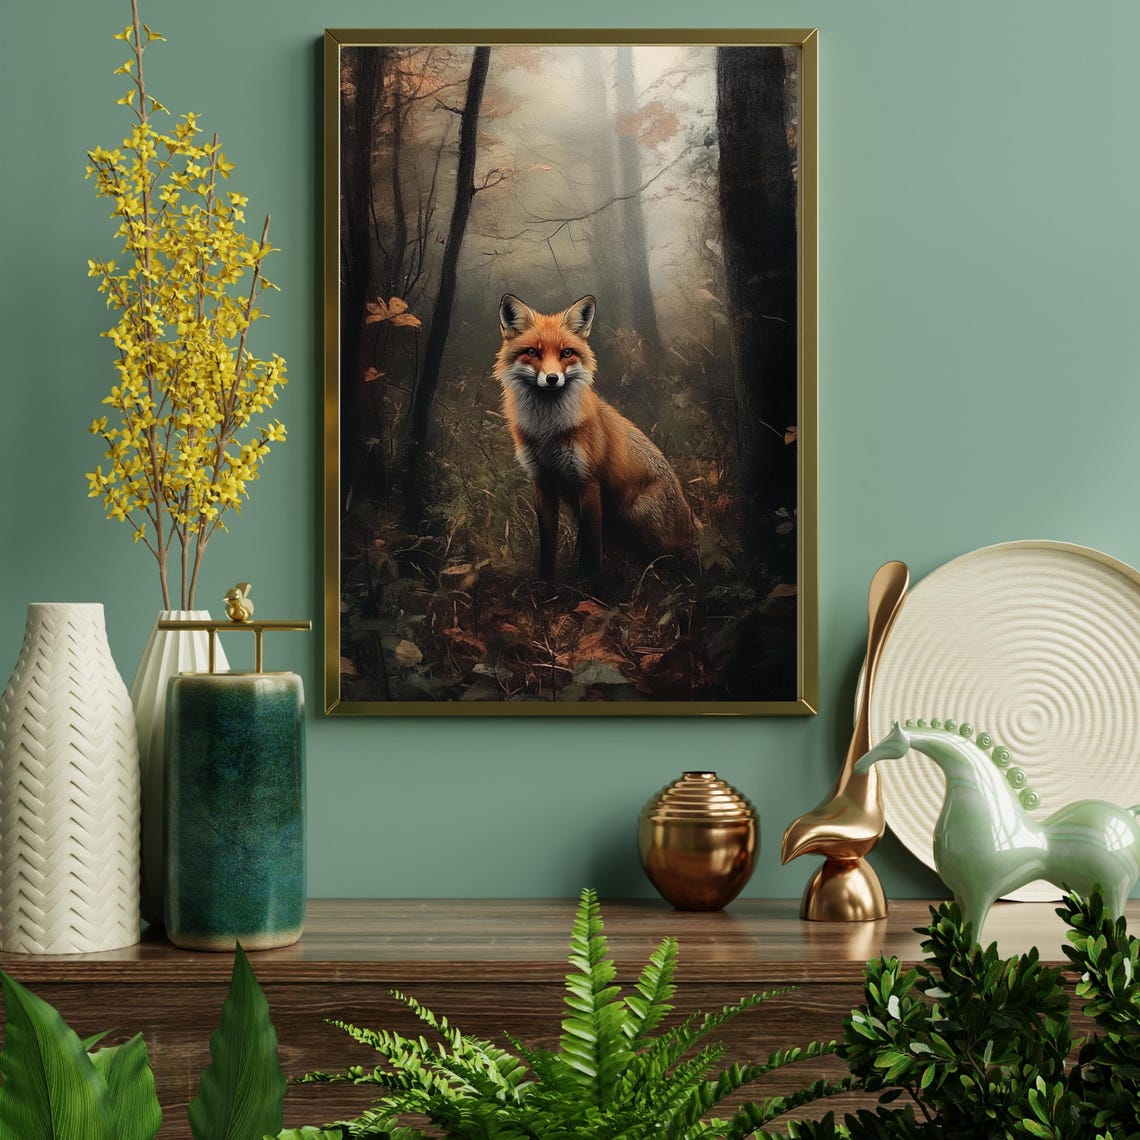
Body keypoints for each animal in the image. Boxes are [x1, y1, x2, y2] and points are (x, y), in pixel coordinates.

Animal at [494, 292, 695, 580]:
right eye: (533, 352)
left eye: (566, 353)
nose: (552, 378)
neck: (547, 432)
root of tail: (691, 519)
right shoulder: (542, 481)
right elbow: (548, 544)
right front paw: (546, 584)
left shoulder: (588, 482)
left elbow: (590, 549)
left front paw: (591, 586)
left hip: (637, 514)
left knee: (670, 558)